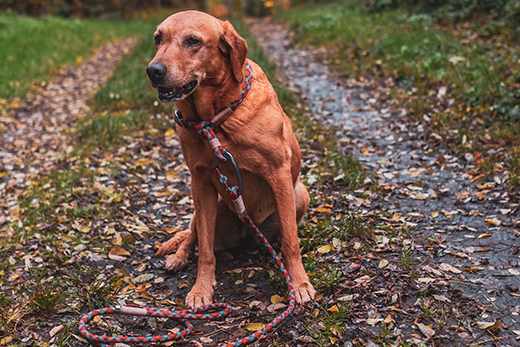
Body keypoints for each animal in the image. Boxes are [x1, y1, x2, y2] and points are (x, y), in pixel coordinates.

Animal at [147, 10, 316, 308]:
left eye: (193, 41)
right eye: (158, 38)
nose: (153, 71)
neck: (215, 120)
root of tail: (246, 230)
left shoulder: (279, 173)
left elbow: (291, 242)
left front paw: (299, 283)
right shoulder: (200, 182)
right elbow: (204, 250)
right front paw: (201, 289)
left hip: (299, 192)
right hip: (204, 206)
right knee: (192, 235)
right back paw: (178, 257)